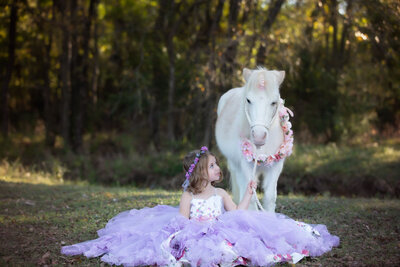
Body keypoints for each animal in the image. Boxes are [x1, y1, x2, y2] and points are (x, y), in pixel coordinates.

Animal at [216, 67, 294, 214]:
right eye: (248, 100)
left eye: (274, 102)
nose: (258, 136)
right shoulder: (246, 166)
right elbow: (250, 198)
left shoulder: (276, 166)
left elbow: (270, 197)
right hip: (235, 165)